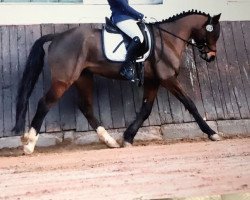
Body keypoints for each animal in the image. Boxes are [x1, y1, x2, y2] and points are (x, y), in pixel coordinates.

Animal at [12, 10, 222, 154]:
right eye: (214, 33)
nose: (211, 57)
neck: (168, 38)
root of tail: (58, 36)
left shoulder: (153, 81)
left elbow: (145, 110)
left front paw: (128, 138)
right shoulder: (167, 78)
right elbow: (190, 104)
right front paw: (212, 133)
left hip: (83, 78)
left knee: (86, 107)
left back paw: (109, 141)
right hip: (64, 79)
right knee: (45, 103)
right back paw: (29, 144)